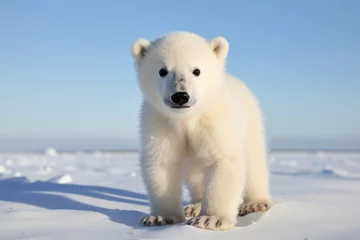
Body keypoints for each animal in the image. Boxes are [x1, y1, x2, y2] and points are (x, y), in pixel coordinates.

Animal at [131, 31, 272, 231]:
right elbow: (163, 163)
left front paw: (210, 219)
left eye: (196, 71)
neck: (187, 119)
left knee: (254, 161)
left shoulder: (215, 122)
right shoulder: (161, 124)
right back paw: (194, 206)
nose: (180, 96)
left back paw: (256, 203)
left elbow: (222, 159)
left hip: (250, 120)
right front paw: (160, 217)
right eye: (162, 71)